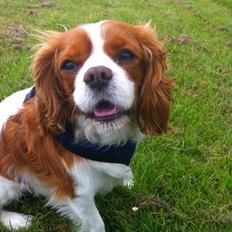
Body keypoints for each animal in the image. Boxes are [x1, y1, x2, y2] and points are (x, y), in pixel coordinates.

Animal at [0, 20, 174, 232]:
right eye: (68, 65)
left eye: (126, 55)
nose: (97, 75)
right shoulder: (77, 192)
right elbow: (96, 223)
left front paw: (126, 181)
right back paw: (16, 220)